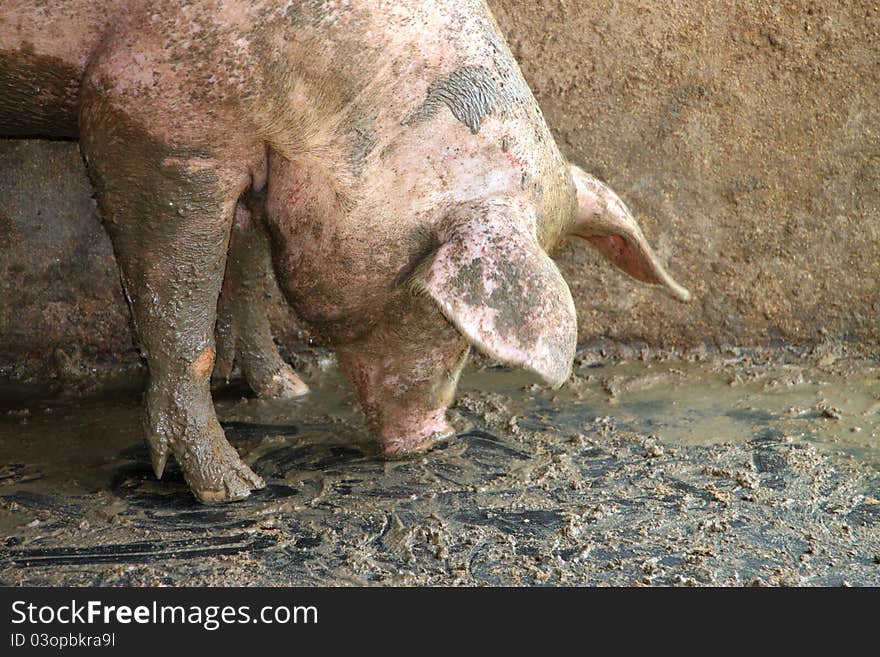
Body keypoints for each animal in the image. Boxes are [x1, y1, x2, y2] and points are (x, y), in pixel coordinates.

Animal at [0, 1, 688, 502]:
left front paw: (287, 392)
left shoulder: (258, 167)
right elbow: (179, 310)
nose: (436, 435)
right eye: (442, 309)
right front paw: (235, 491)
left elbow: (245, 269)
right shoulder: (148, 114)